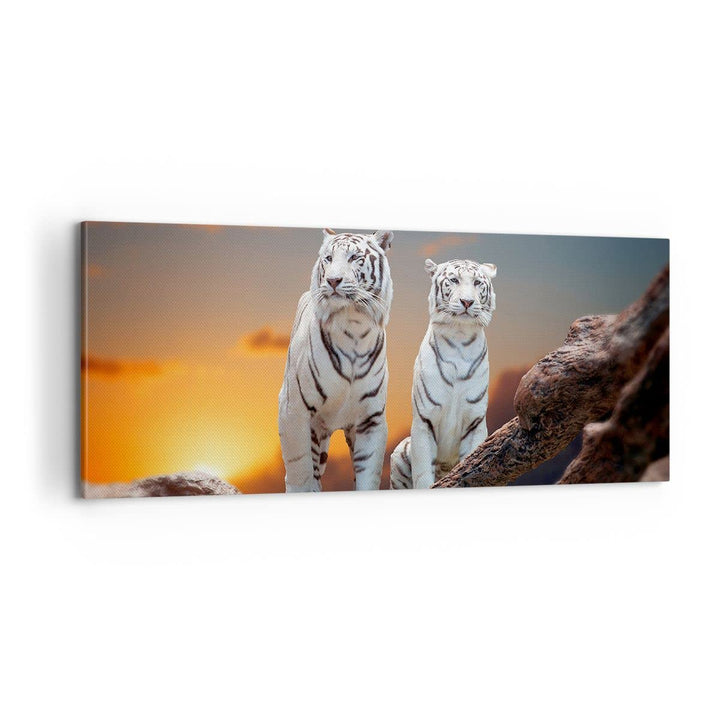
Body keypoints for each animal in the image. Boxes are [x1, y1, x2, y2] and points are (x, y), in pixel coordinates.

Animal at [279, 228, 393, 492]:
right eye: (328, 259)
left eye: (354, 258)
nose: (332, 281)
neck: (353, 325)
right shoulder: (293, 409)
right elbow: (300, 472)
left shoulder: (371, 418)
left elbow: (368, 474)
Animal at [390, 258, 497, 489]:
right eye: (454, 280)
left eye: (477, 282)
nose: (467, 302)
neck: (460, 337)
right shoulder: (424, 420)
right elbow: (422, 474)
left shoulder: (475, 422)